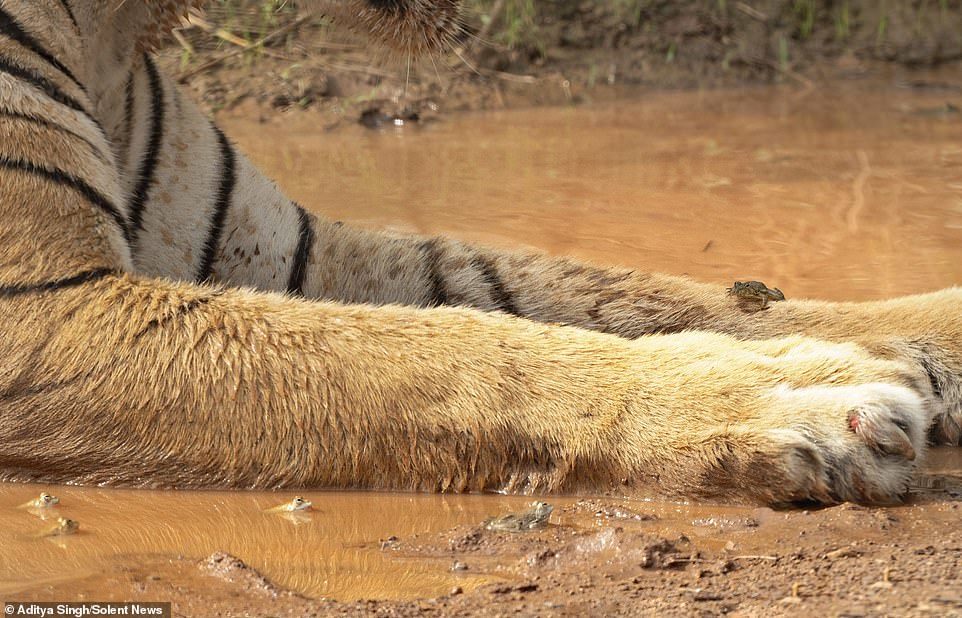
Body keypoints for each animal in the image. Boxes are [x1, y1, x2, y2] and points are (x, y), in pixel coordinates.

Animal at [0, 0, 956, 500]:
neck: (117, 29)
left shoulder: (288, 248)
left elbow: (616, 292)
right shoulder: (44, 314)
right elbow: (446, 353)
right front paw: (797, 394)